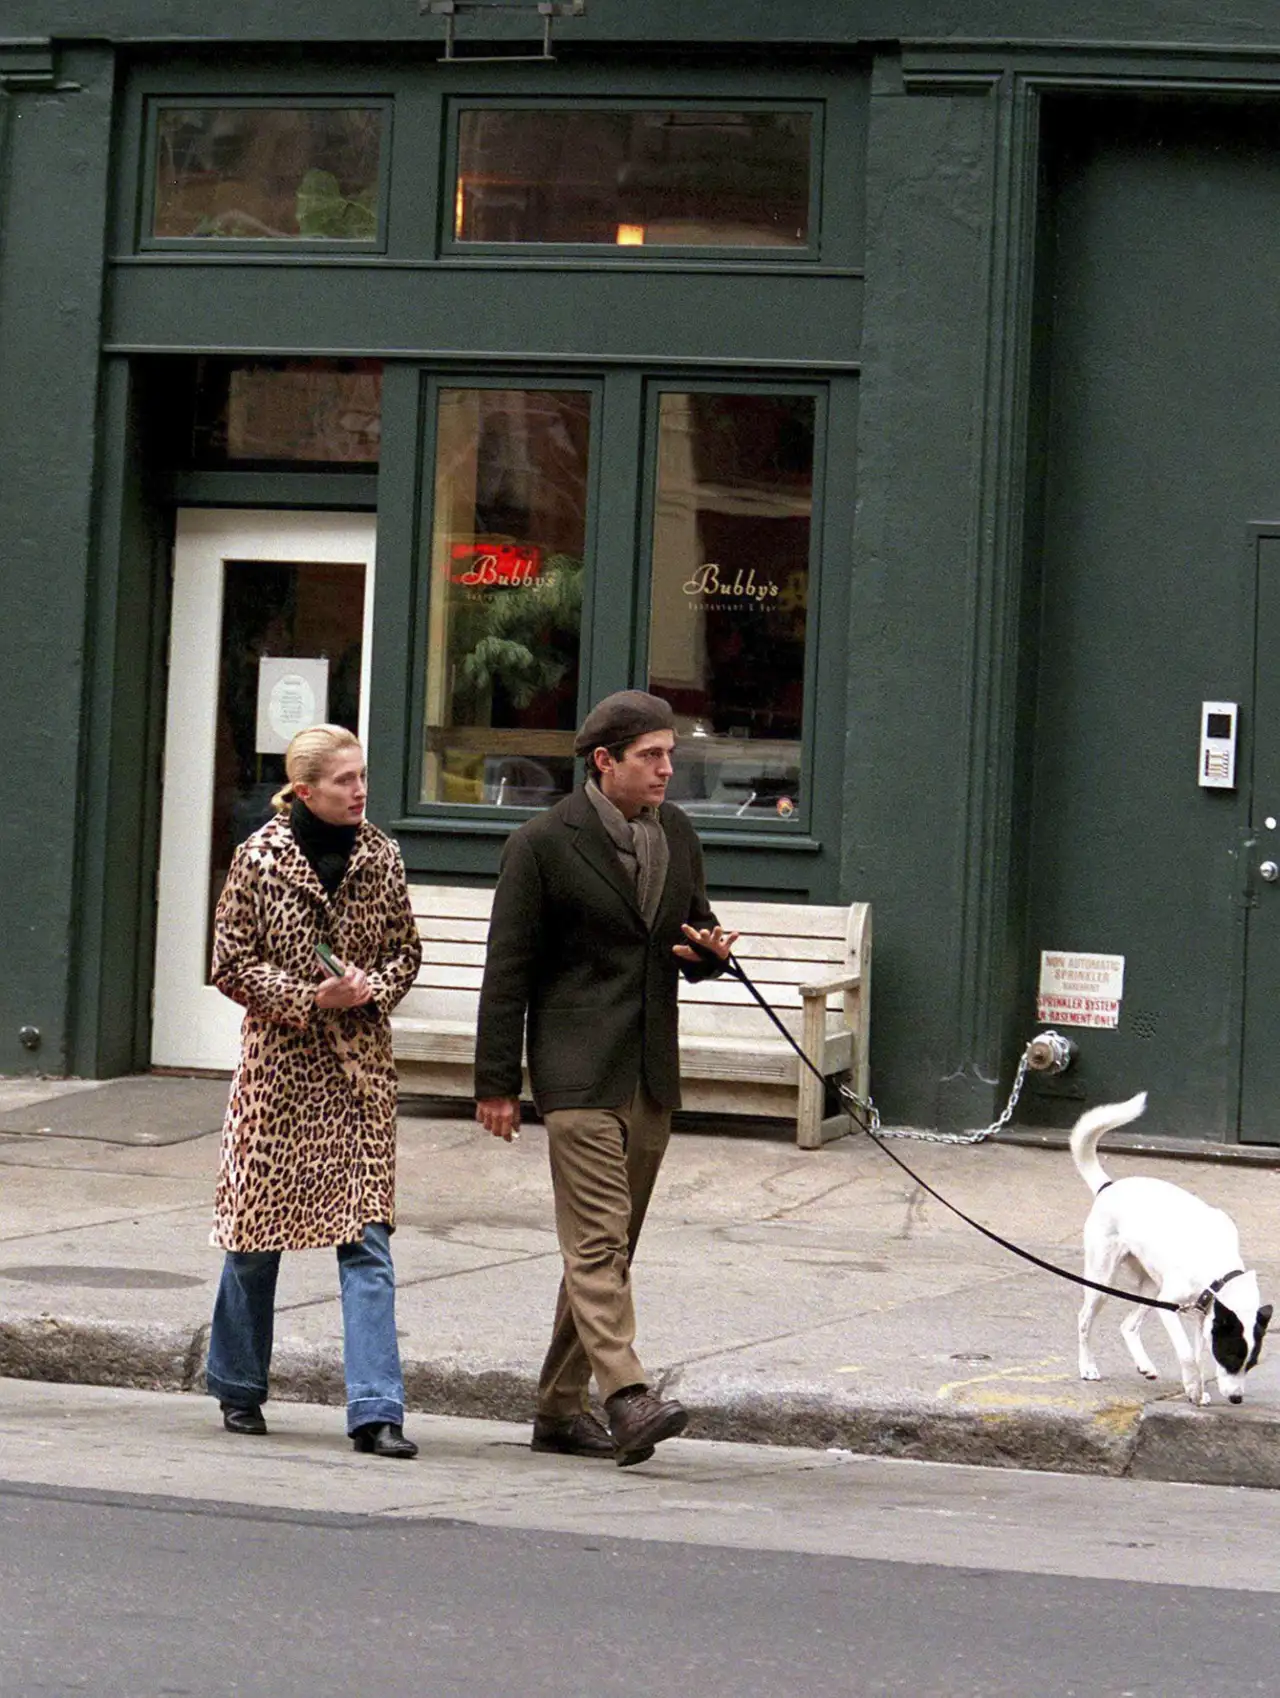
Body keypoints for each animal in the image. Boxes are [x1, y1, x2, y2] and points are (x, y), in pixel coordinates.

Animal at [1072, 1086, 1263, 1405]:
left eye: (1252, 1363)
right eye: (1230, 1356)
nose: (1237, 1399)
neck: (1217, 1267)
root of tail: (1109, 1187)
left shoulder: (1202, 1316)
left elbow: (1198, 1357)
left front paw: (1197, 1389)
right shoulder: (1169, 1306)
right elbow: (1186, 1353)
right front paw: (1193, 1388)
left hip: (1151, 1288)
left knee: (1128, 1325)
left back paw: (1145, 1365)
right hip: (1103, 1280)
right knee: (1085, 1319)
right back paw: (1087, 1366)